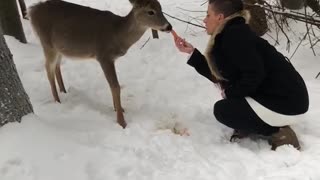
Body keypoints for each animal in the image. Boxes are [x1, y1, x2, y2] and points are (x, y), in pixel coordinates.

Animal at [28, 0, 172, 129]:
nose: (169, 27)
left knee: (57, 66)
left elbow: (113, 85)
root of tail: (32, 10)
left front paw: (119, 109)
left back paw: (63, 91)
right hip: (47, 43)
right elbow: (115, 86)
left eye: (161, 8)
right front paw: (121, 122)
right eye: (150, 11)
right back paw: (57, 100)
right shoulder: (103, 56)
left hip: (59, 48)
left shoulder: (111, 59)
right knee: (48, 68)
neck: (118, 34)